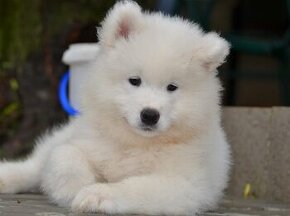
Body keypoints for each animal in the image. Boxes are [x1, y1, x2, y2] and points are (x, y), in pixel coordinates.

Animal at [0, 1, 231, 214]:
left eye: (172, 87)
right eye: (135, 80)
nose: (150, 115)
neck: (133, 143)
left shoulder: (186, 184)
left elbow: (136, 186)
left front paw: (97, 194)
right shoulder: (85, 141)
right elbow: (64, 156)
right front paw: (76, 187)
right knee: (36, 165)